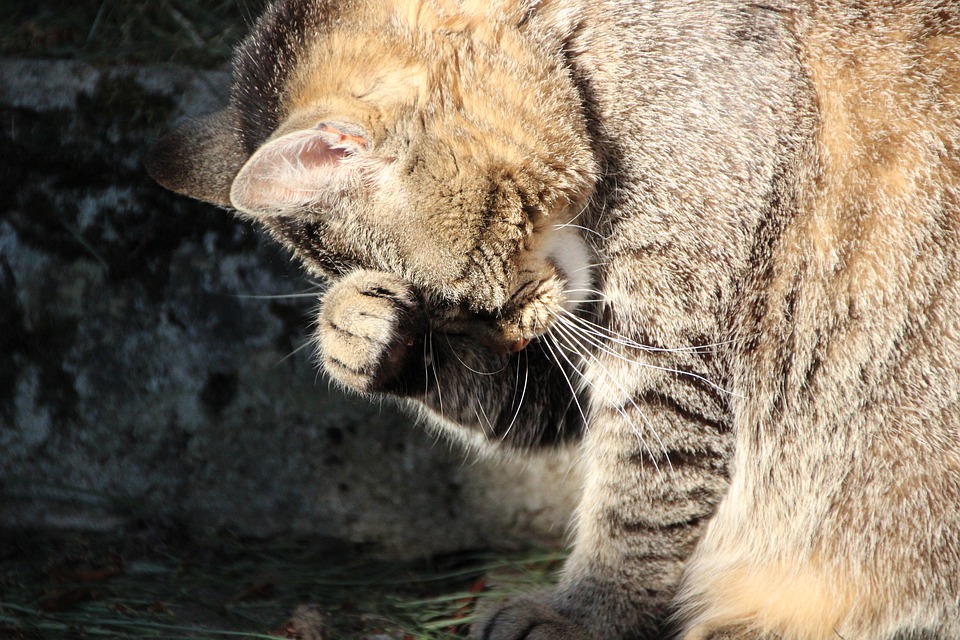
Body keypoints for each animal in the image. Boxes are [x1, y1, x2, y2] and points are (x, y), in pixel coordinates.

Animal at [144, 0, 960, 636]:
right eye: (451, 313)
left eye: (468, 296)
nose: (511, 332)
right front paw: (358, 332)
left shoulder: (666, 360)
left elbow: (637, 509)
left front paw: (585, 614)